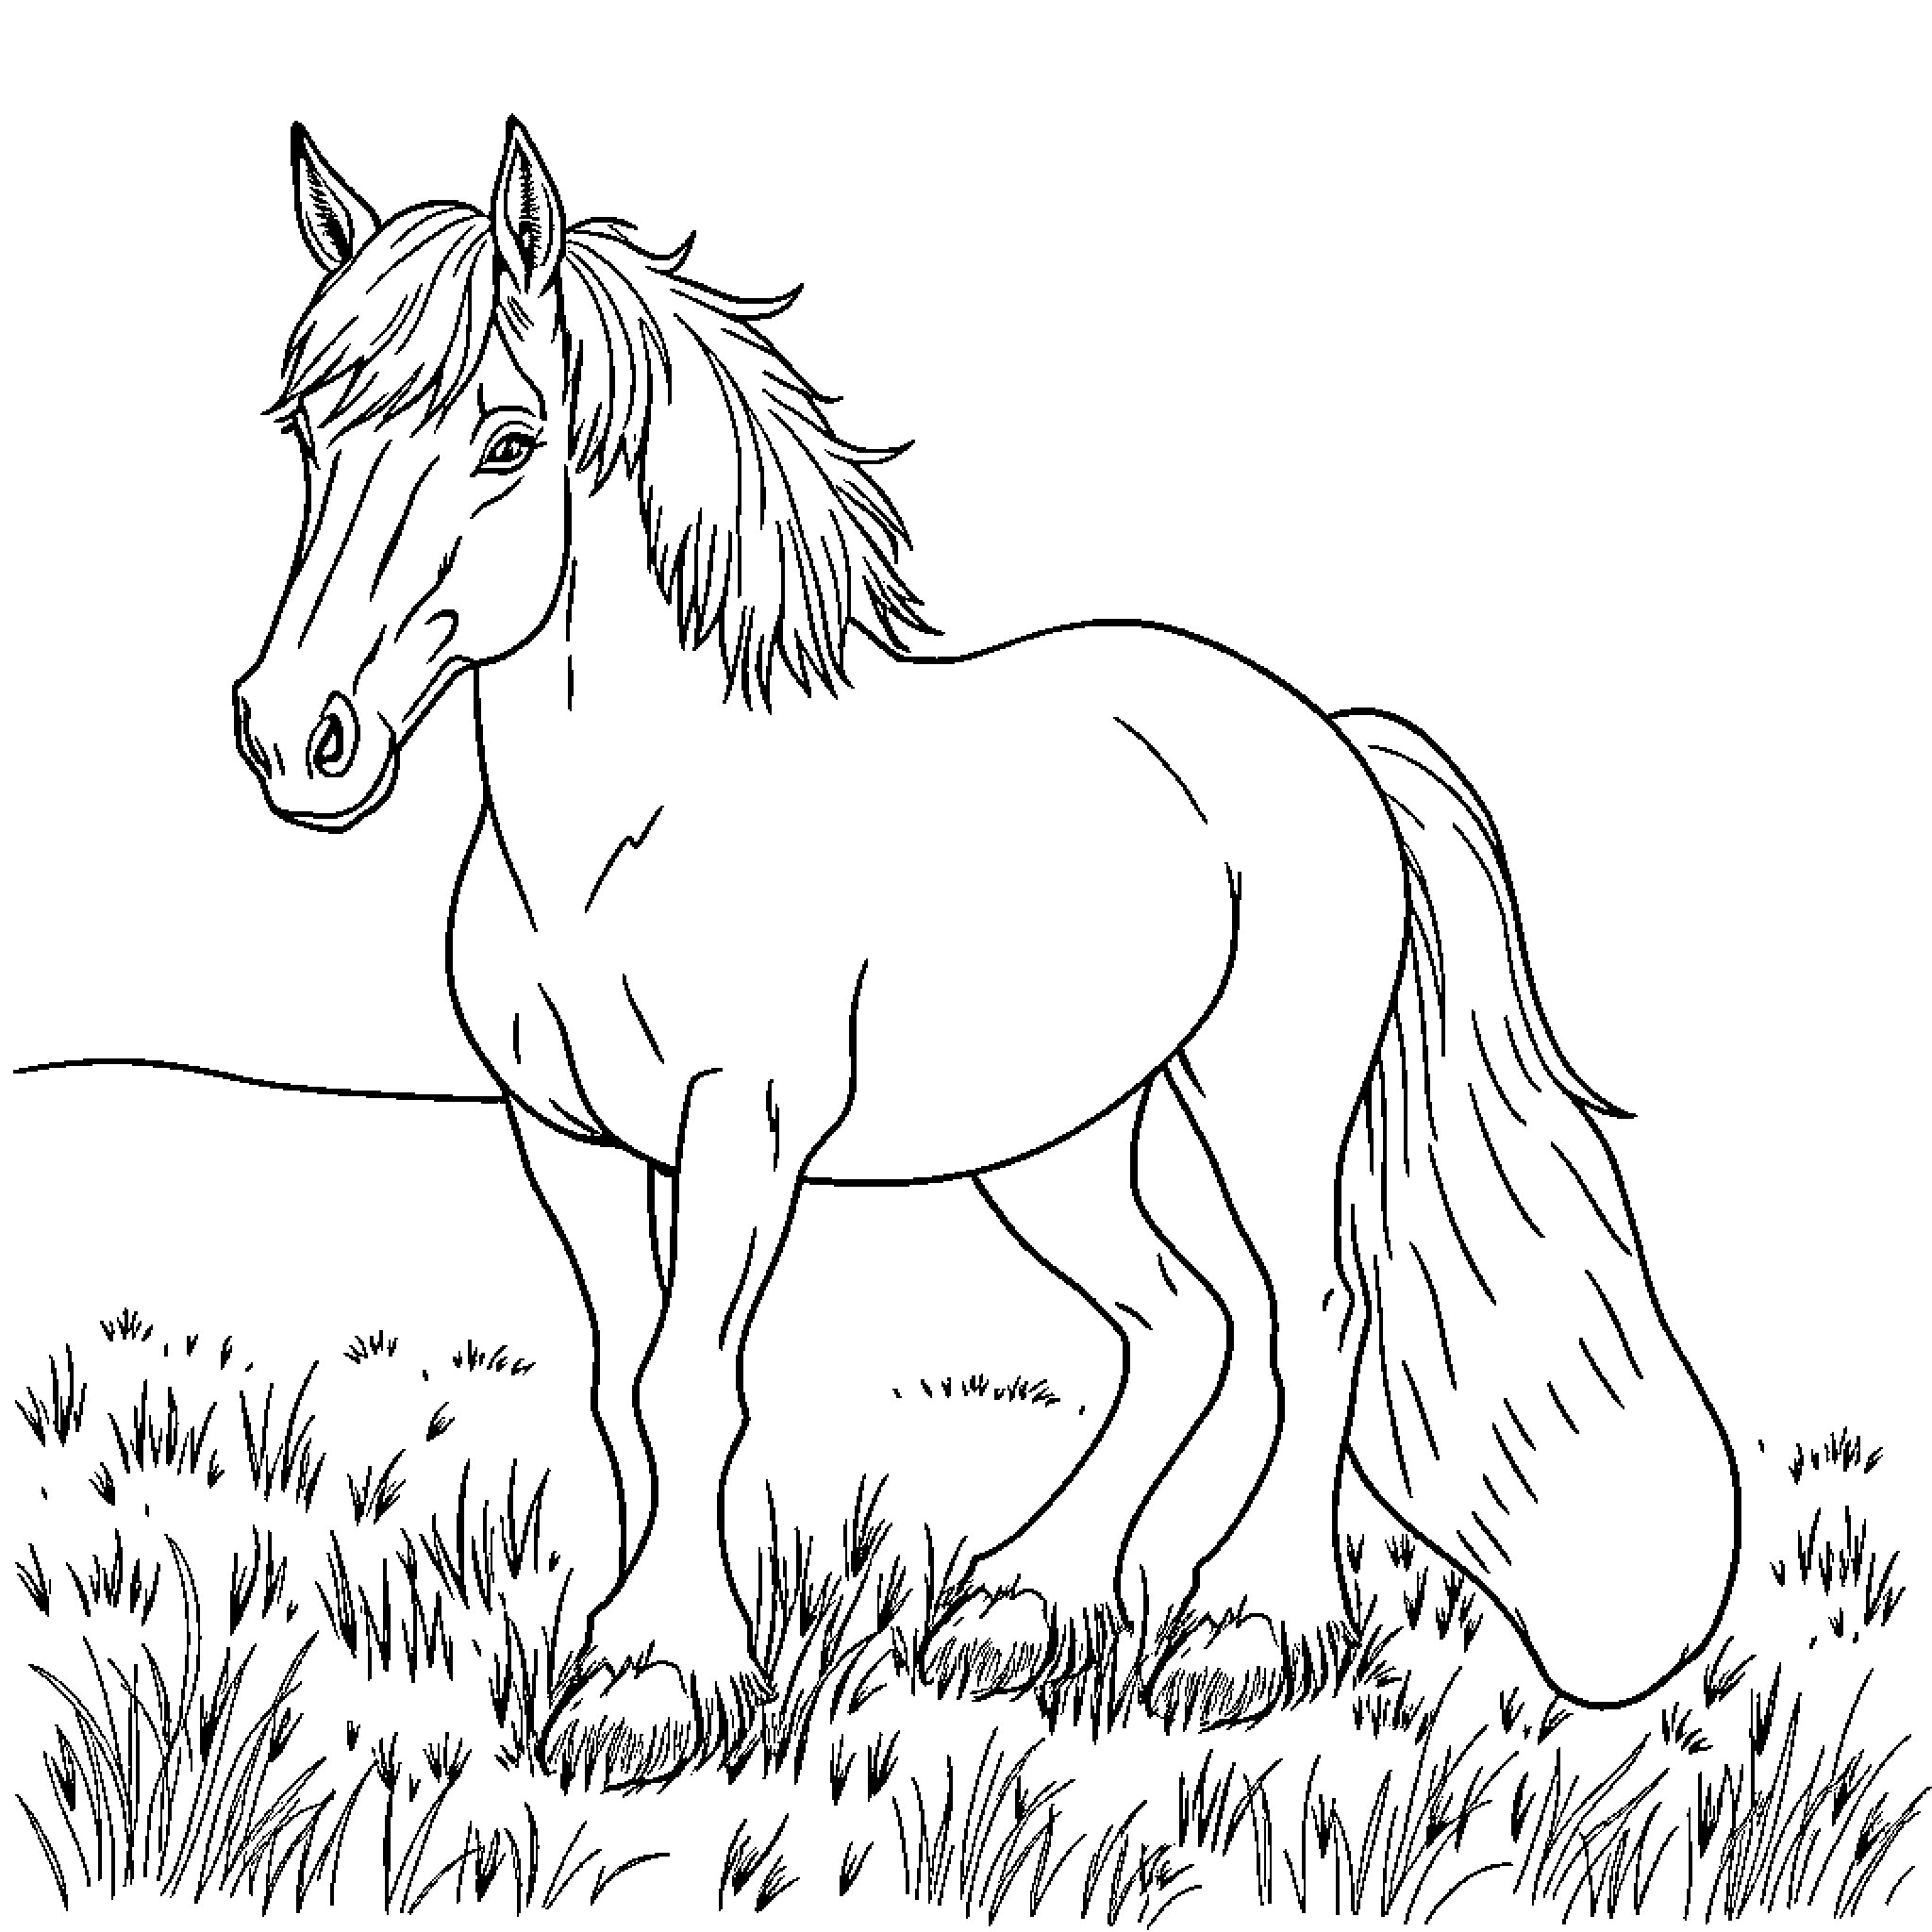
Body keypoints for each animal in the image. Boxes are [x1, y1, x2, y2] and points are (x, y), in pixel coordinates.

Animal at [233, 118, 1741, 1780]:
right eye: (307, 431)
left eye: (510, 441)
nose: (294, 737)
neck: (633, 829)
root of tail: (1328, 739)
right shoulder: (562, 1138)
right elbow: (623, 1385)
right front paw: (627, 1642)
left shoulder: (743, 1133)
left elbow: (693, 1382)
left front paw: (655, 1679)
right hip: (1060, 1142)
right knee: (1179, 1324)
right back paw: (1019, 1613)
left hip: (1261, 1109)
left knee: (1314, 1317)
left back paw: (1253, 1630)